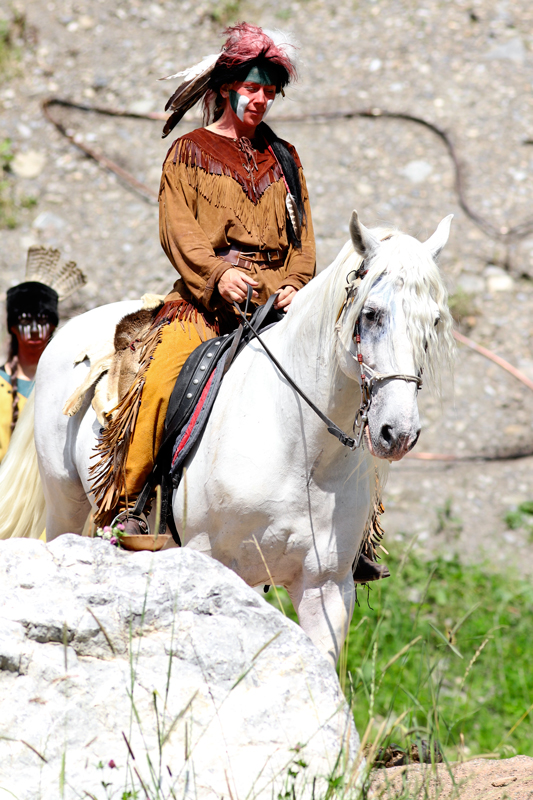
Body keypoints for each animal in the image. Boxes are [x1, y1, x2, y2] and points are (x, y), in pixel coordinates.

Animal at [0, 214, 454, 668]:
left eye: (433, 322)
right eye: (372, 314)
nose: (398, 433)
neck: (301, 451)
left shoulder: (326, 588)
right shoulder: (213, 562)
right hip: (64, 502)